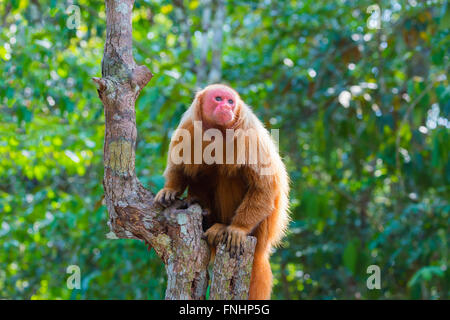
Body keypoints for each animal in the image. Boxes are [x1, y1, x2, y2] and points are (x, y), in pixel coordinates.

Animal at [155, 84, 288, 298]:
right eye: (218, 99)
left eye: (231, 101)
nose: (226, 107)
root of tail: (262, 247)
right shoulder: (188, 125)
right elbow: (179, 166)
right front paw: (170, 189)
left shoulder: (249, 132)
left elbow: (265, 187)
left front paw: (238, 228)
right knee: (202, 171)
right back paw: (200, 208)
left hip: (260, 231)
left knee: (228, 174)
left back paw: (222, 227)